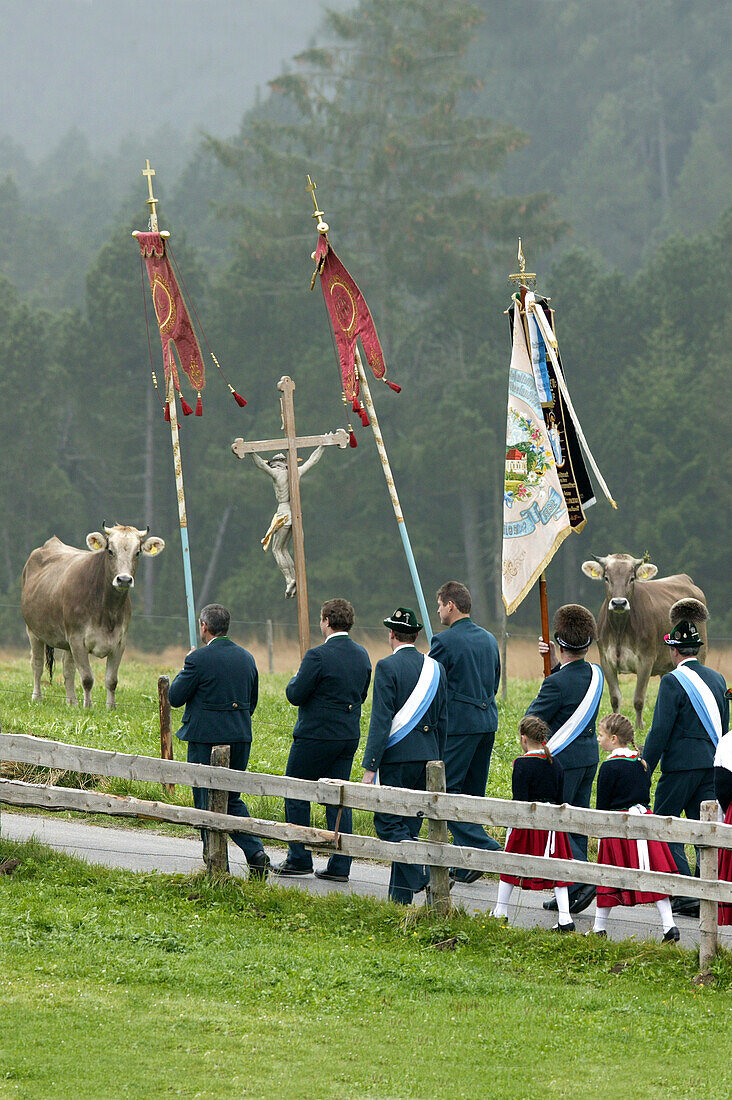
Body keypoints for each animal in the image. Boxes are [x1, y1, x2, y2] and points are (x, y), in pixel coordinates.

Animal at [20, 525, 165, 712]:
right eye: (110, 551)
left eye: (138, 552)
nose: (124, 579)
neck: (107, 610)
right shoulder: (77, 640)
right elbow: (87, 678)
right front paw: (88, 706)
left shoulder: (119, 642)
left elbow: (111, 680)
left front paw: (111, 707)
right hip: (33, 631)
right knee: (37, 665)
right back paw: (37, 697)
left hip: (66, 642)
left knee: (68, 670)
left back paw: (71, 702)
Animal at [581, 550, 704, 730]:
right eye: (607, 578)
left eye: (631, 578)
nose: (619, 603)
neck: (620, 629)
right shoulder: (606, 660)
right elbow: (615, 698)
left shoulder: (646, 659)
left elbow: (639, 698)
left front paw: (639, 726)